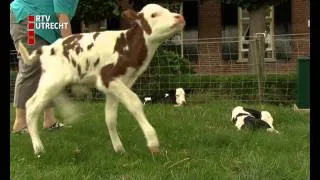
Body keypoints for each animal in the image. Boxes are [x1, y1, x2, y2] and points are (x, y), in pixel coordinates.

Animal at [17, 3, 186, 155]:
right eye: (153, 15)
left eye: (167, 9)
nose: (180, 17)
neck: (128, 47)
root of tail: (46, 48)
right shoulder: (107, 77)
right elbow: (134, 102)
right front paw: (153, 143)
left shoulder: (115, 85)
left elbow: (110, 117)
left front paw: (119, 149)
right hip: (51, 81)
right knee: (31, 105)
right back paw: (38, 148)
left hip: (55, 83)